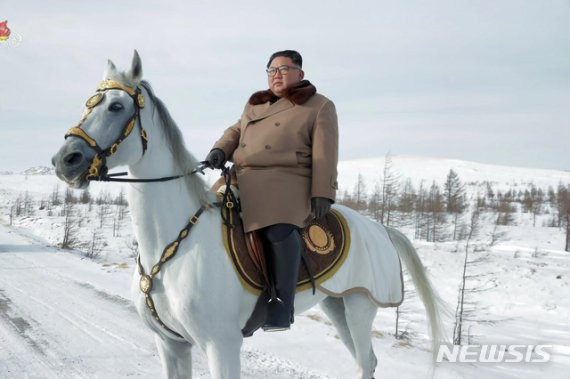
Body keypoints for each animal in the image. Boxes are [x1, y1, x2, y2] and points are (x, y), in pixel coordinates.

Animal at [52, 51, 444, 379]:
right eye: (89, 103)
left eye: (116, 106)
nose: (65, 160)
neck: (170, 245)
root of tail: (381, 229)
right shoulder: (171, 344)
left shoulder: (221, 346)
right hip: (337, 305)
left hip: (360, 306)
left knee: (365, 362)